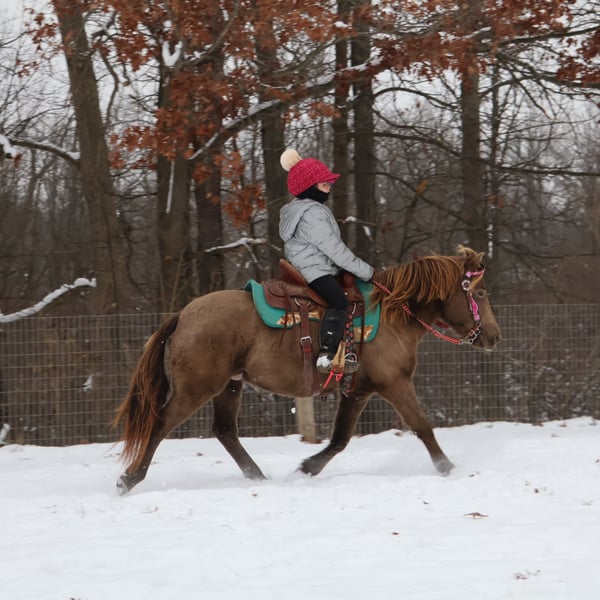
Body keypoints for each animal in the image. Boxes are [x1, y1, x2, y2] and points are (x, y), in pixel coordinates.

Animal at [113, 245, 501, 493]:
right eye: (481, 293)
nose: (495, 336)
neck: (395, 314)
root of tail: (182, 315)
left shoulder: (358, 391)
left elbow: (340, 438)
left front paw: (307, 468)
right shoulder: (395, 383)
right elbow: (423, 427)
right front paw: (449, 468)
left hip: (230, 385)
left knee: (224, 431)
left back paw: (258, 477)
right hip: (197, 388)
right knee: (161, 424)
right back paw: (130, 478)